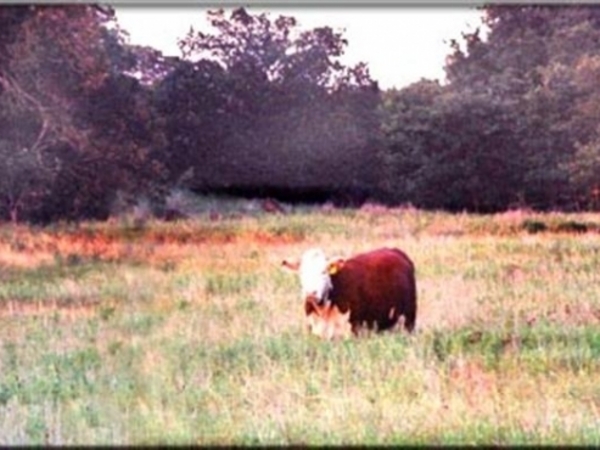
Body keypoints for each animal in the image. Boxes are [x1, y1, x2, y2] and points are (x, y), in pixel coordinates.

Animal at [282, 248, 418, 340]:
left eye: (324, 272)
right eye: (301, 273)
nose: (311, 293)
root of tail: (395, 251)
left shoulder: (354, 328)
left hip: (409, 318)